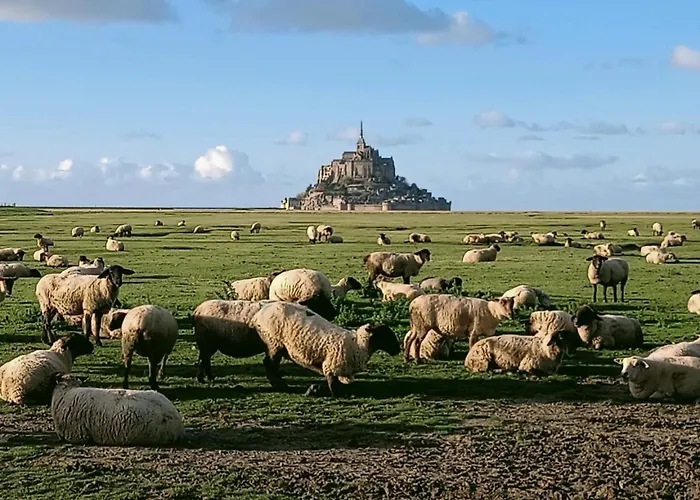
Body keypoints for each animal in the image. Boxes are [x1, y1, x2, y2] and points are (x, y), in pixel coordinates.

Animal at [252, 301, 400, 397]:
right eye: (386, 335)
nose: (397, 350)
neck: (358, 345)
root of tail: (260, 312)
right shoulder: (332, 365)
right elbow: (333, 383)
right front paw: (337, 395)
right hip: (274, 342)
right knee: (270, 363)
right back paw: (280, 385)